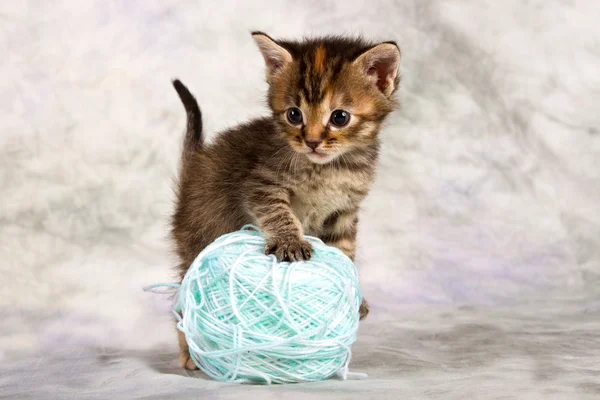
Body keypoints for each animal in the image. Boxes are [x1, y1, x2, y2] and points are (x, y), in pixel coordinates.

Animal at [171, 32, 400, 372]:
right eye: (294, 114)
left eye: (340, 117)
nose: (312, 141)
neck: (330, 168)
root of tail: (195, 167)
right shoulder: (261, 183)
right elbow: (279, 212)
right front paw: (290, 241)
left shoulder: (344, 211)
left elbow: (345, 252)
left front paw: (353, 292)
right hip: (198, 238)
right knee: (185, 295)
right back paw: (191, 352)